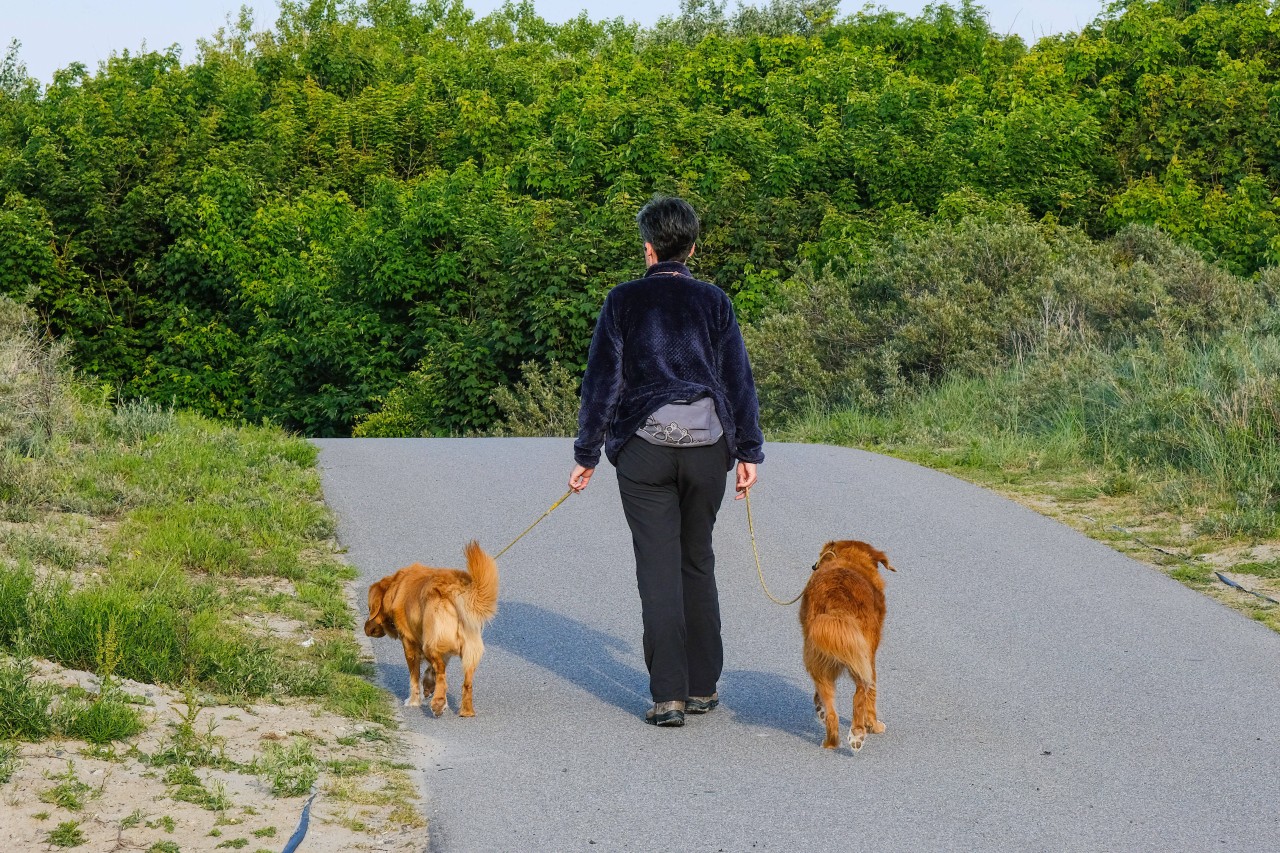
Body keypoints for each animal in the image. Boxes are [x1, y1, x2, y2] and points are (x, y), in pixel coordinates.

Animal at [366, 540, 499, 712]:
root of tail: (455, 590)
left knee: (441, 673)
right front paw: (429, 686)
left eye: (369, 608)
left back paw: (438, 703)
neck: (395, 588)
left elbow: (414, 677)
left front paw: (413, 700)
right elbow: (431, 670)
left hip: (432, 643)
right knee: (466, 681)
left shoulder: (409, 643)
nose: (366, 628)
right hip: (468, 649)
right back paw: (466, 710)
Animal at [798, 540, 890, 747]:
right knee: (860, 694)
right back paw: (858, 734)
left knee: (832, 713)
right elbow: (872, 693)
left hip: (818, 659)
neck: (849, 560)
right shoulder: (870, 655)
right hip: (862, 656)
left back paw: (830, 740)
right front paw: (873, 725)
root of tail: (836, 600)